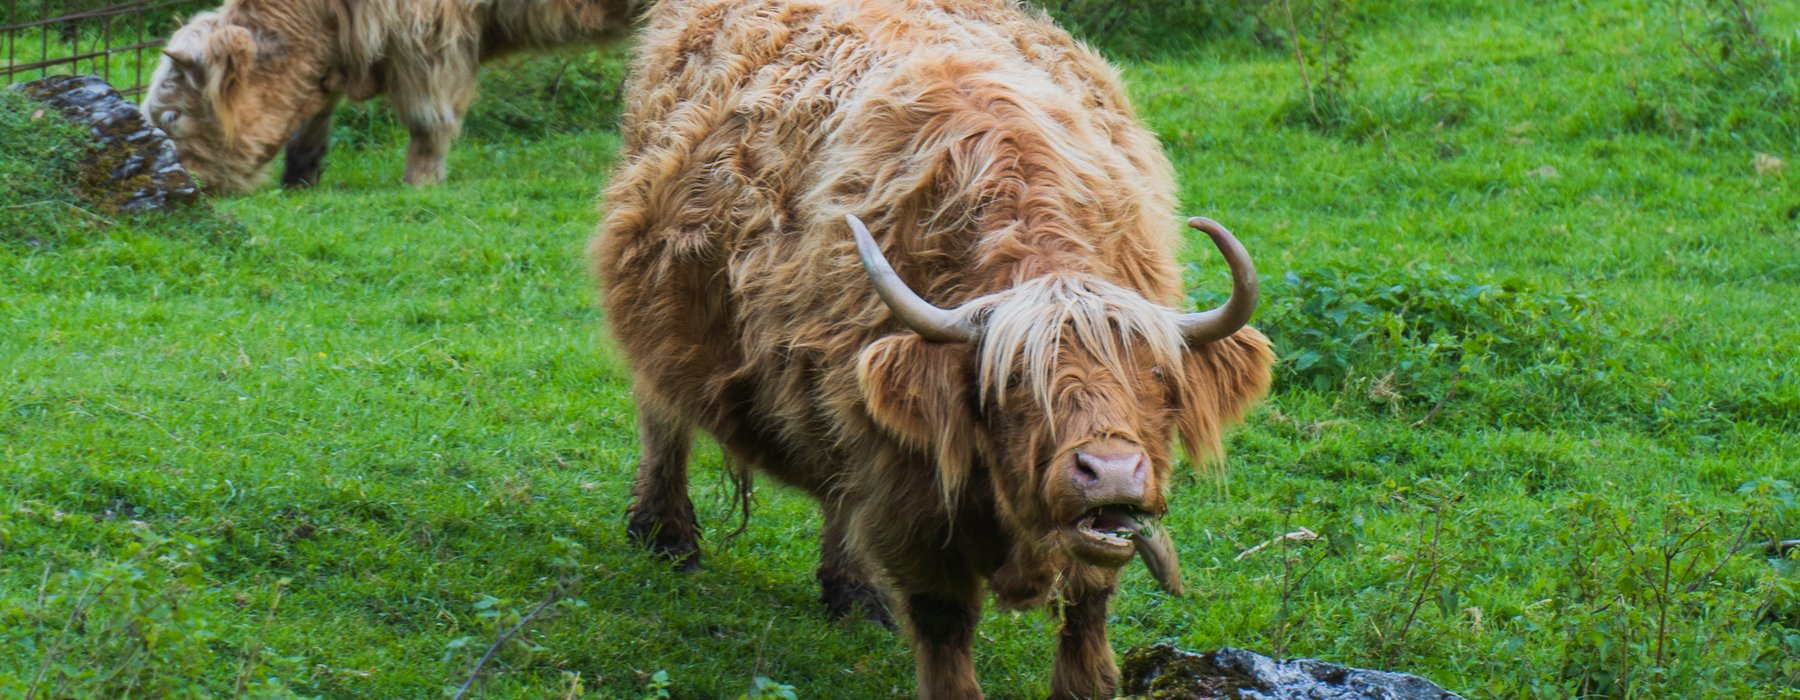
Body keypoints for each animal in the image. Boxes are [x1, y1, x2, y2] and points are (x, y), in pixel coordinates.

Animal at [140, 0, 637, 190]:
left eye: (172, 117)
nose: (183, 182)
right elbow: (313, 117)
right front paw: (300, 175)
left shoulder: (428, 35)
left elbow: (428, 117)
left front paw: (421, 178)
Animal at [597, 1, 1274, 698]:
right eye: (1012, 385)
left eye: (1157, 377)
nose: (1109, 473)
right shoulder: (909, 494)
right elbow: (944, 620)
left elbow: (1087, 608)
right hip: (661, 320)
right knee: (663, 416)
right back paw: (667, 537)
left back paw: (853, 597)